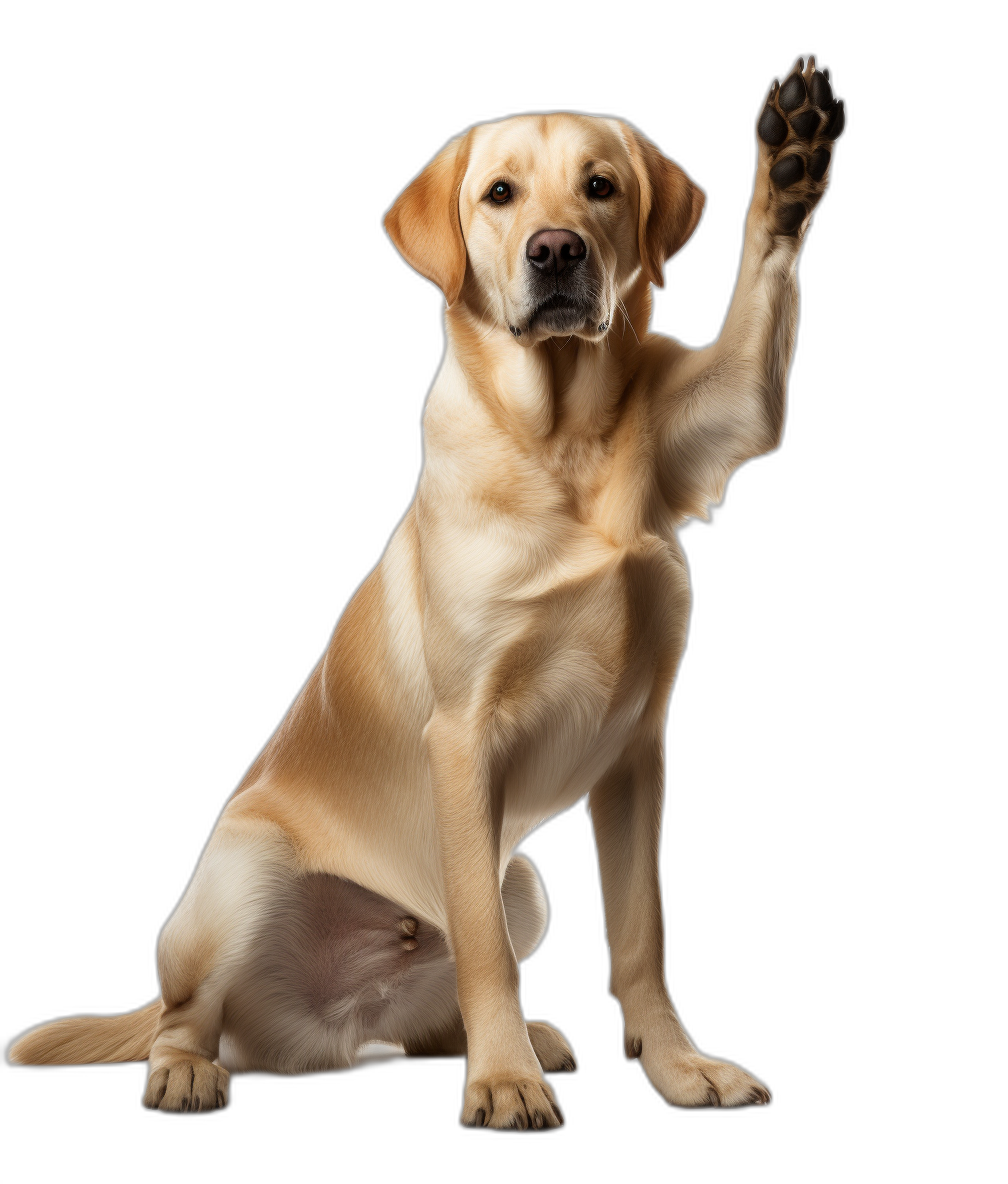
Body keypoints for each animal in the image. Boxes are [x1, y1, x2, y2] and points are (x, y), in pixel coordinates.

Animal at [7, 57, 843, 1127]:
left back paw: (525, 1039)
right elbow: (487, 949)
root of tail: (330, 1023)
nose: (557, 251)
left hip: (523, 878)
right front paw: (503, 1087)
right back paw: (194, 1071)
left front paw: (794, 158)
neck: (560, 436)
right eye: (500, 194)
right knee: (186, 1016)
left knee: (429, 1015)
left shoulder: (636, 754)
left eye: (600, 186)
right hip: (240, 876)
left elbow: (640, 936)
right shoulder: (463, 737)